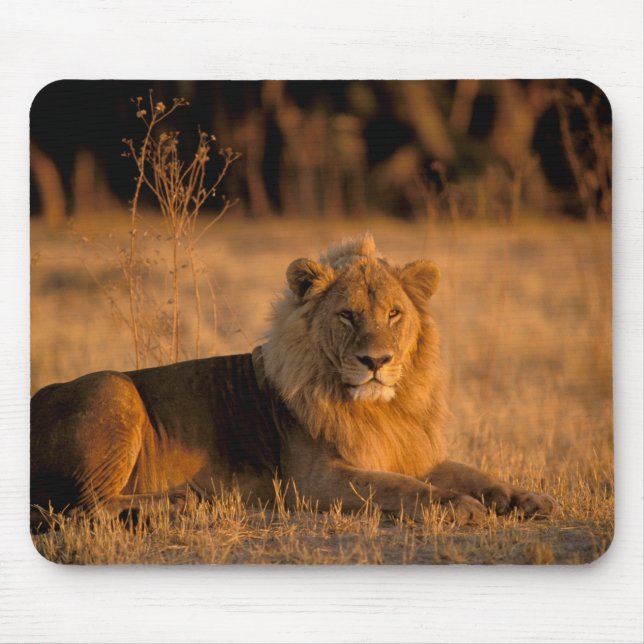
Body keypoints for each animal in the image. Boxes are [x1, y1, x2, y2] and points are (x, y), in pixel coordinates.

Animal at [31, 233, 555, 527]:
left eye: (394, 314)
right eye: (347, 315)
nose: (376, 361)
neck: (381, 408)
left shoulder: (407, 450)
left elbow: (473, 472)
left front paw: (525, 498)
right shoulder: (314, 481)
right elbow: (398, 488)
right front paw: (456, 506)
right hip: (114, 388)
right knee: (80, 508)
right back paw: (176, 503)